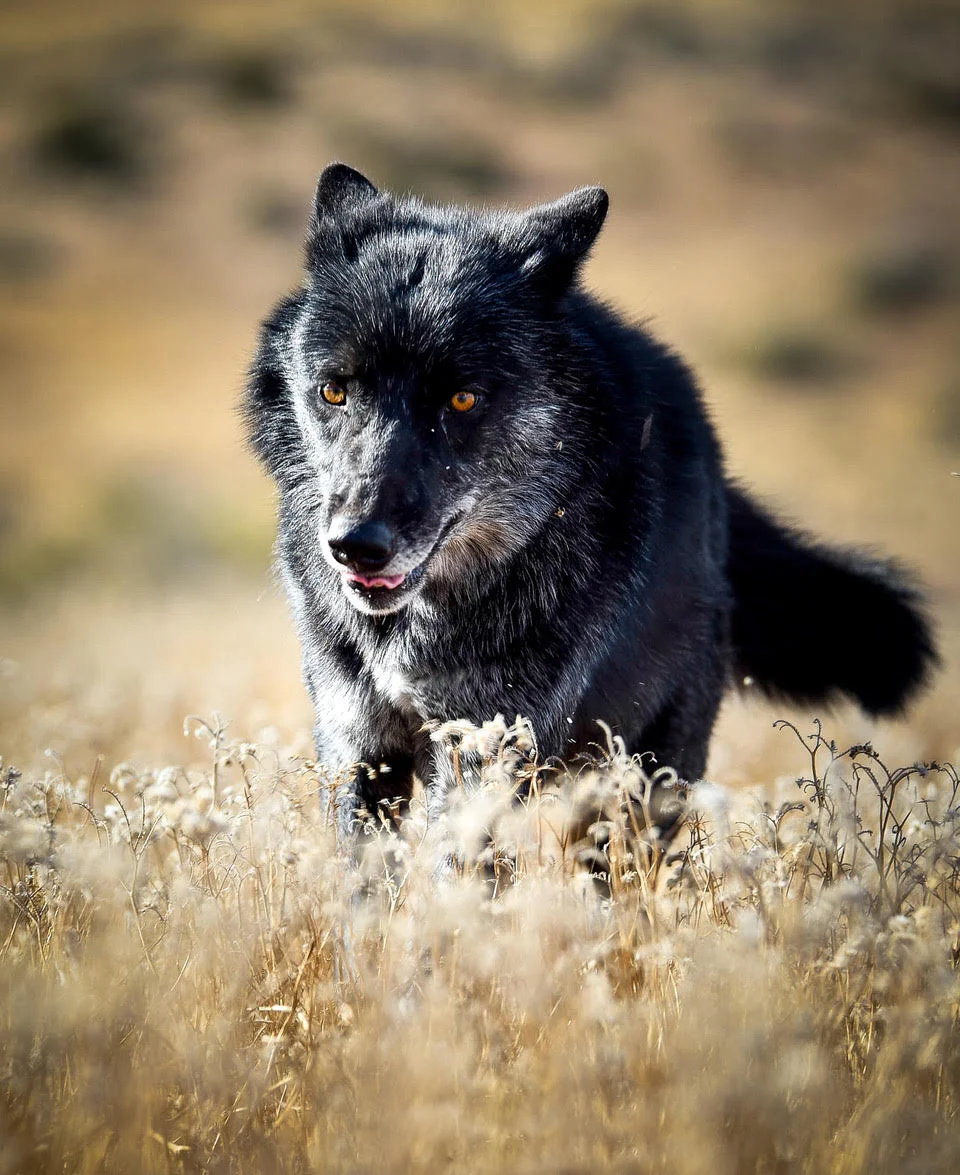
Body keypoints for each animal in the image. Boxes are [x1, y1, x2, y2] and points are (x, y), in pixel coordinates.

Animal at [245, 162, 937, 843]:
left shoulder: (483, 748)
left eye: (462, 399)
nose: (355, 545)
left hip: (646, 771)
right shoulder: (358, 742)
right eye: (334, 391)